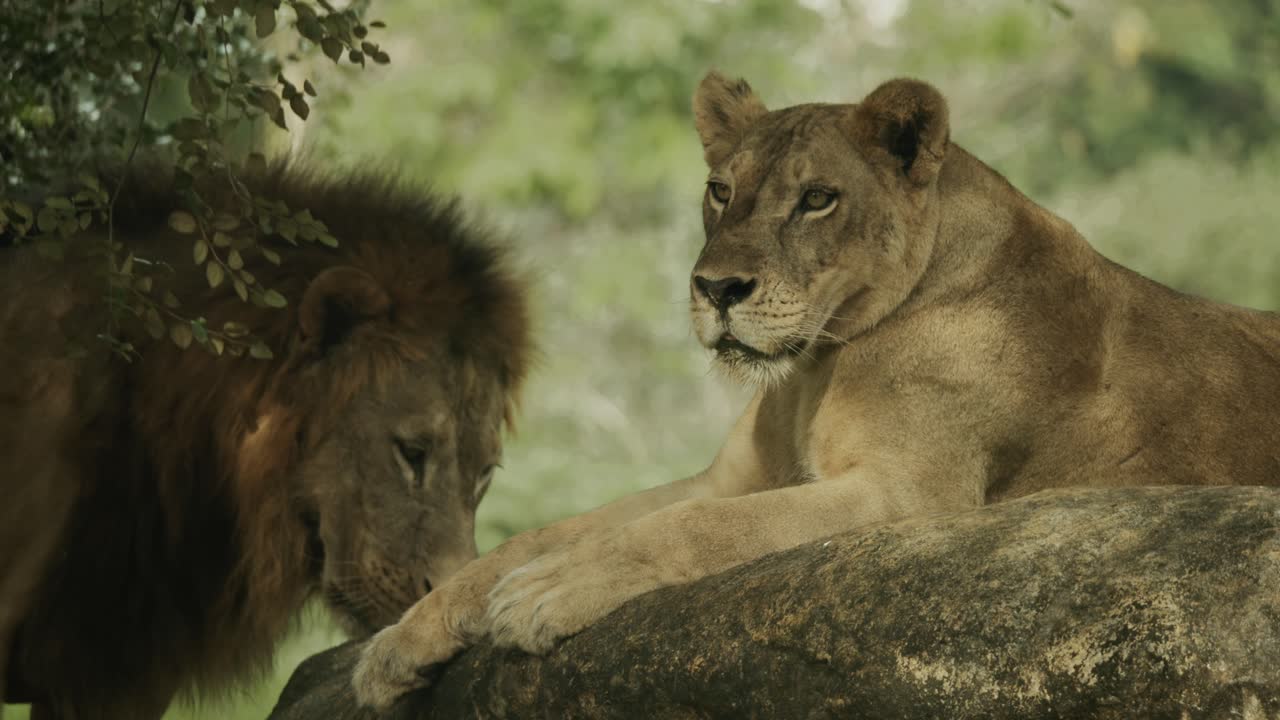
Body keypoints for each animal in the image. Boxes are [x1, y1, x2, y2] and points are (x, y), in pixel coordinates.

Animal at [348, 72, 1280, 710]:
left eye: (819, 200)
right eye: (721, 191)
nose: (717, 289)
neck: (821, 361)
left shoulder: (909, 495)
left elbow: (692, 528)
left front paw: (545, 593)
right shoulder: (734, 475)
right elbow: (548, 532)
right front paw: (404, 640)